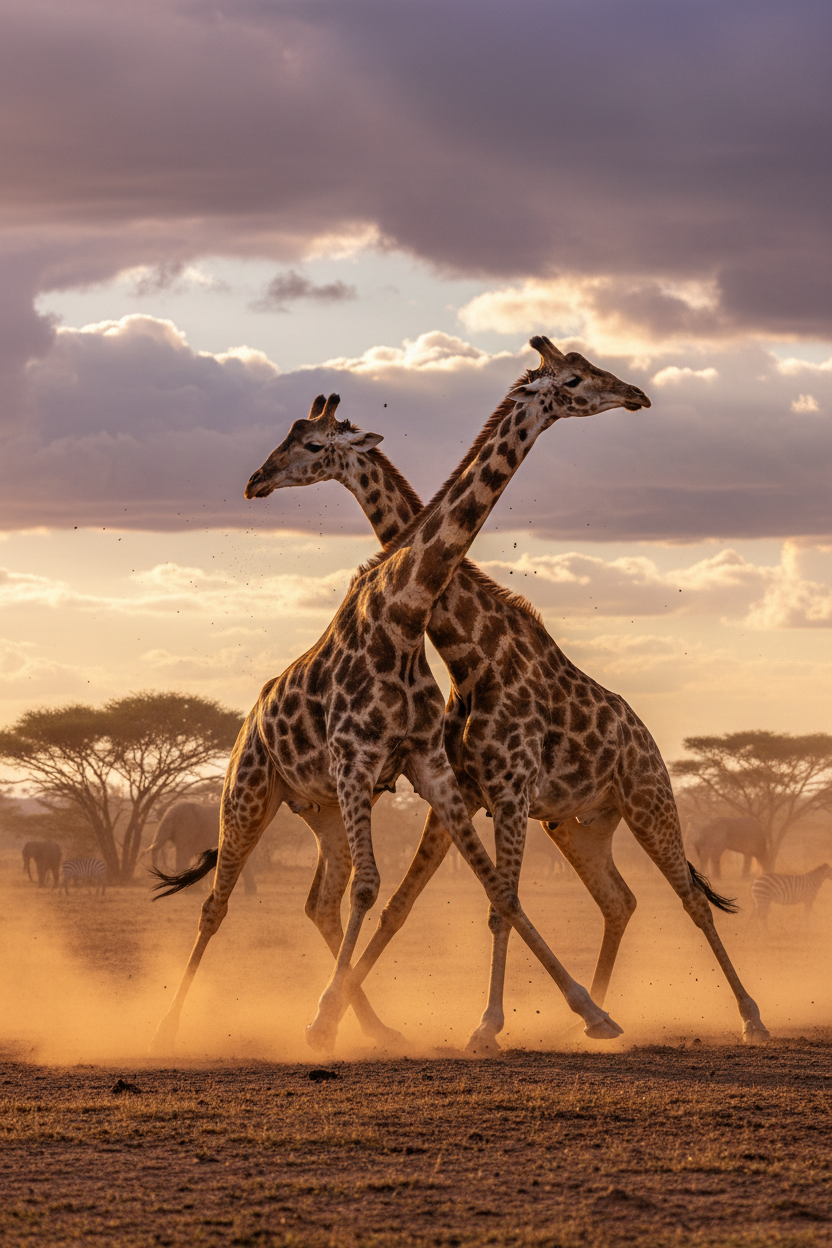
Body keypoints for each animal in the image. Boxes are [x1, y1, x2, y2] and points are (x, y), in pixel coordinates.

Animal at [150, 337, 648, 1054]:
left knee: (318, 901)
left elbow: (494, 890)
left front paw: (591, 1013)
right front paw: (324, 1020)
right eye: (575, 379)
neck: (407, 613)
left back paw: (374, 1023)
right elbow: (376, 888)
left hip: (321, 808)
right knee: (218, 903)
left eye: (309, 444)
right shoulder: (360, 762)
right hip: (249, 792)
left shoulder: (429, 766)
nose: (636, 393)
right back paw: (171, 1027)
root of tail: (249, 720)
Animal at [243, 340, 770, 1051]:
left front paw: (486, 1024)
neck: (469, 652)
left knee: (689, 898)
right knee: (621, 899)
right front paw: (348, 1011)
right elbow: (417, 904)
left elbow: (499, 902)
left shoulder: (508, 788)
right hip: (579, 824)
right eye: (574, 377)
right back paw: (596, 1014)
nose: (635, 394)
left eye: (310, 443)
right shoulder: (469, 789)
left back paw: (749, 1016)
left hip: (648, 798)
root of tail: (646, 736)